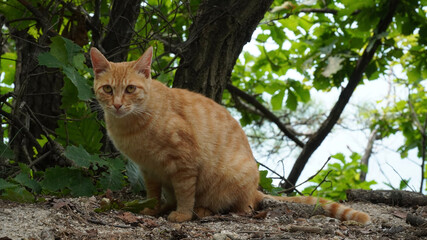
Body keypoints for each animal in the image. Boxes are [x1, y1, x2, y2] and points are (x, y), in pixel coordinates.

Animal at [89, 47, 372, 225]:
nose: (116, 105)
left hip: (231, 182)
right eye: (108, 89)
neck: (132, 125)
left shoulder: (184, 164)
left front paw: (183, 214)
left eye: (130, 89)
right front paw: (152, 208)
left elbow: (185, 193)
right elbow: (152, 193)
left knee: (238, 207)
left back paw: (201, 209)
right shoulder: (148, 169)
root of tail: (254, 189)